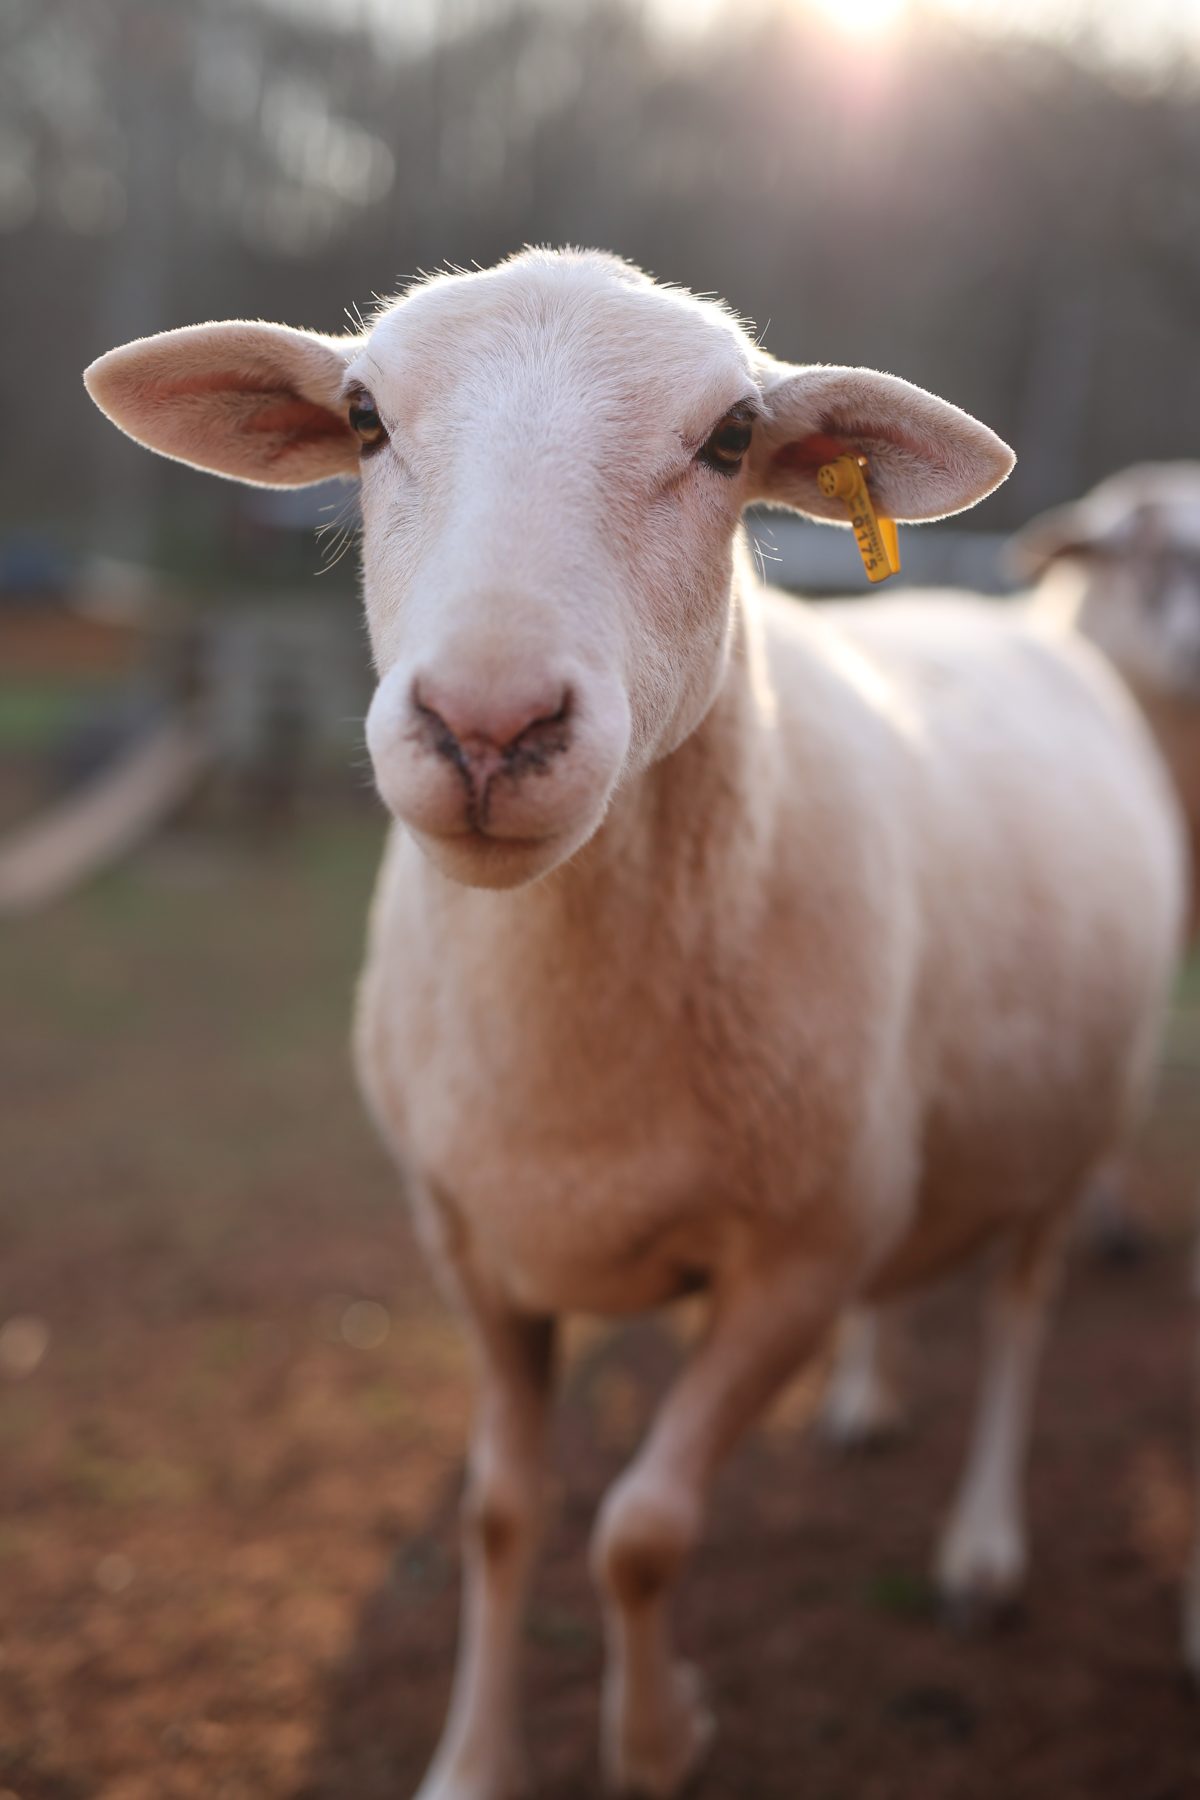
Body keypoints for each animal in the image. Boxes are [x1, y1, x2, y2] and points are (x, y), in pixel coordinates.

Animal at [83, 248, 1186, 1799]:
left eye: (730, 439)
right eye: (362, 418)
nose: (489, 726)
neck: (575, 1057)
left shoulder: (791, 1265)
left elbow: (644, 1531)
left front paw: (658, 1739)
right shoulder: (470, 1242)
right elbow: (500, 1512)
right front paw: (474, 1764)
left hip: (1075, 1123)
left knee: (1023, 1315)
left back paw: (981, 1550)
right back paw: (868, 1403)